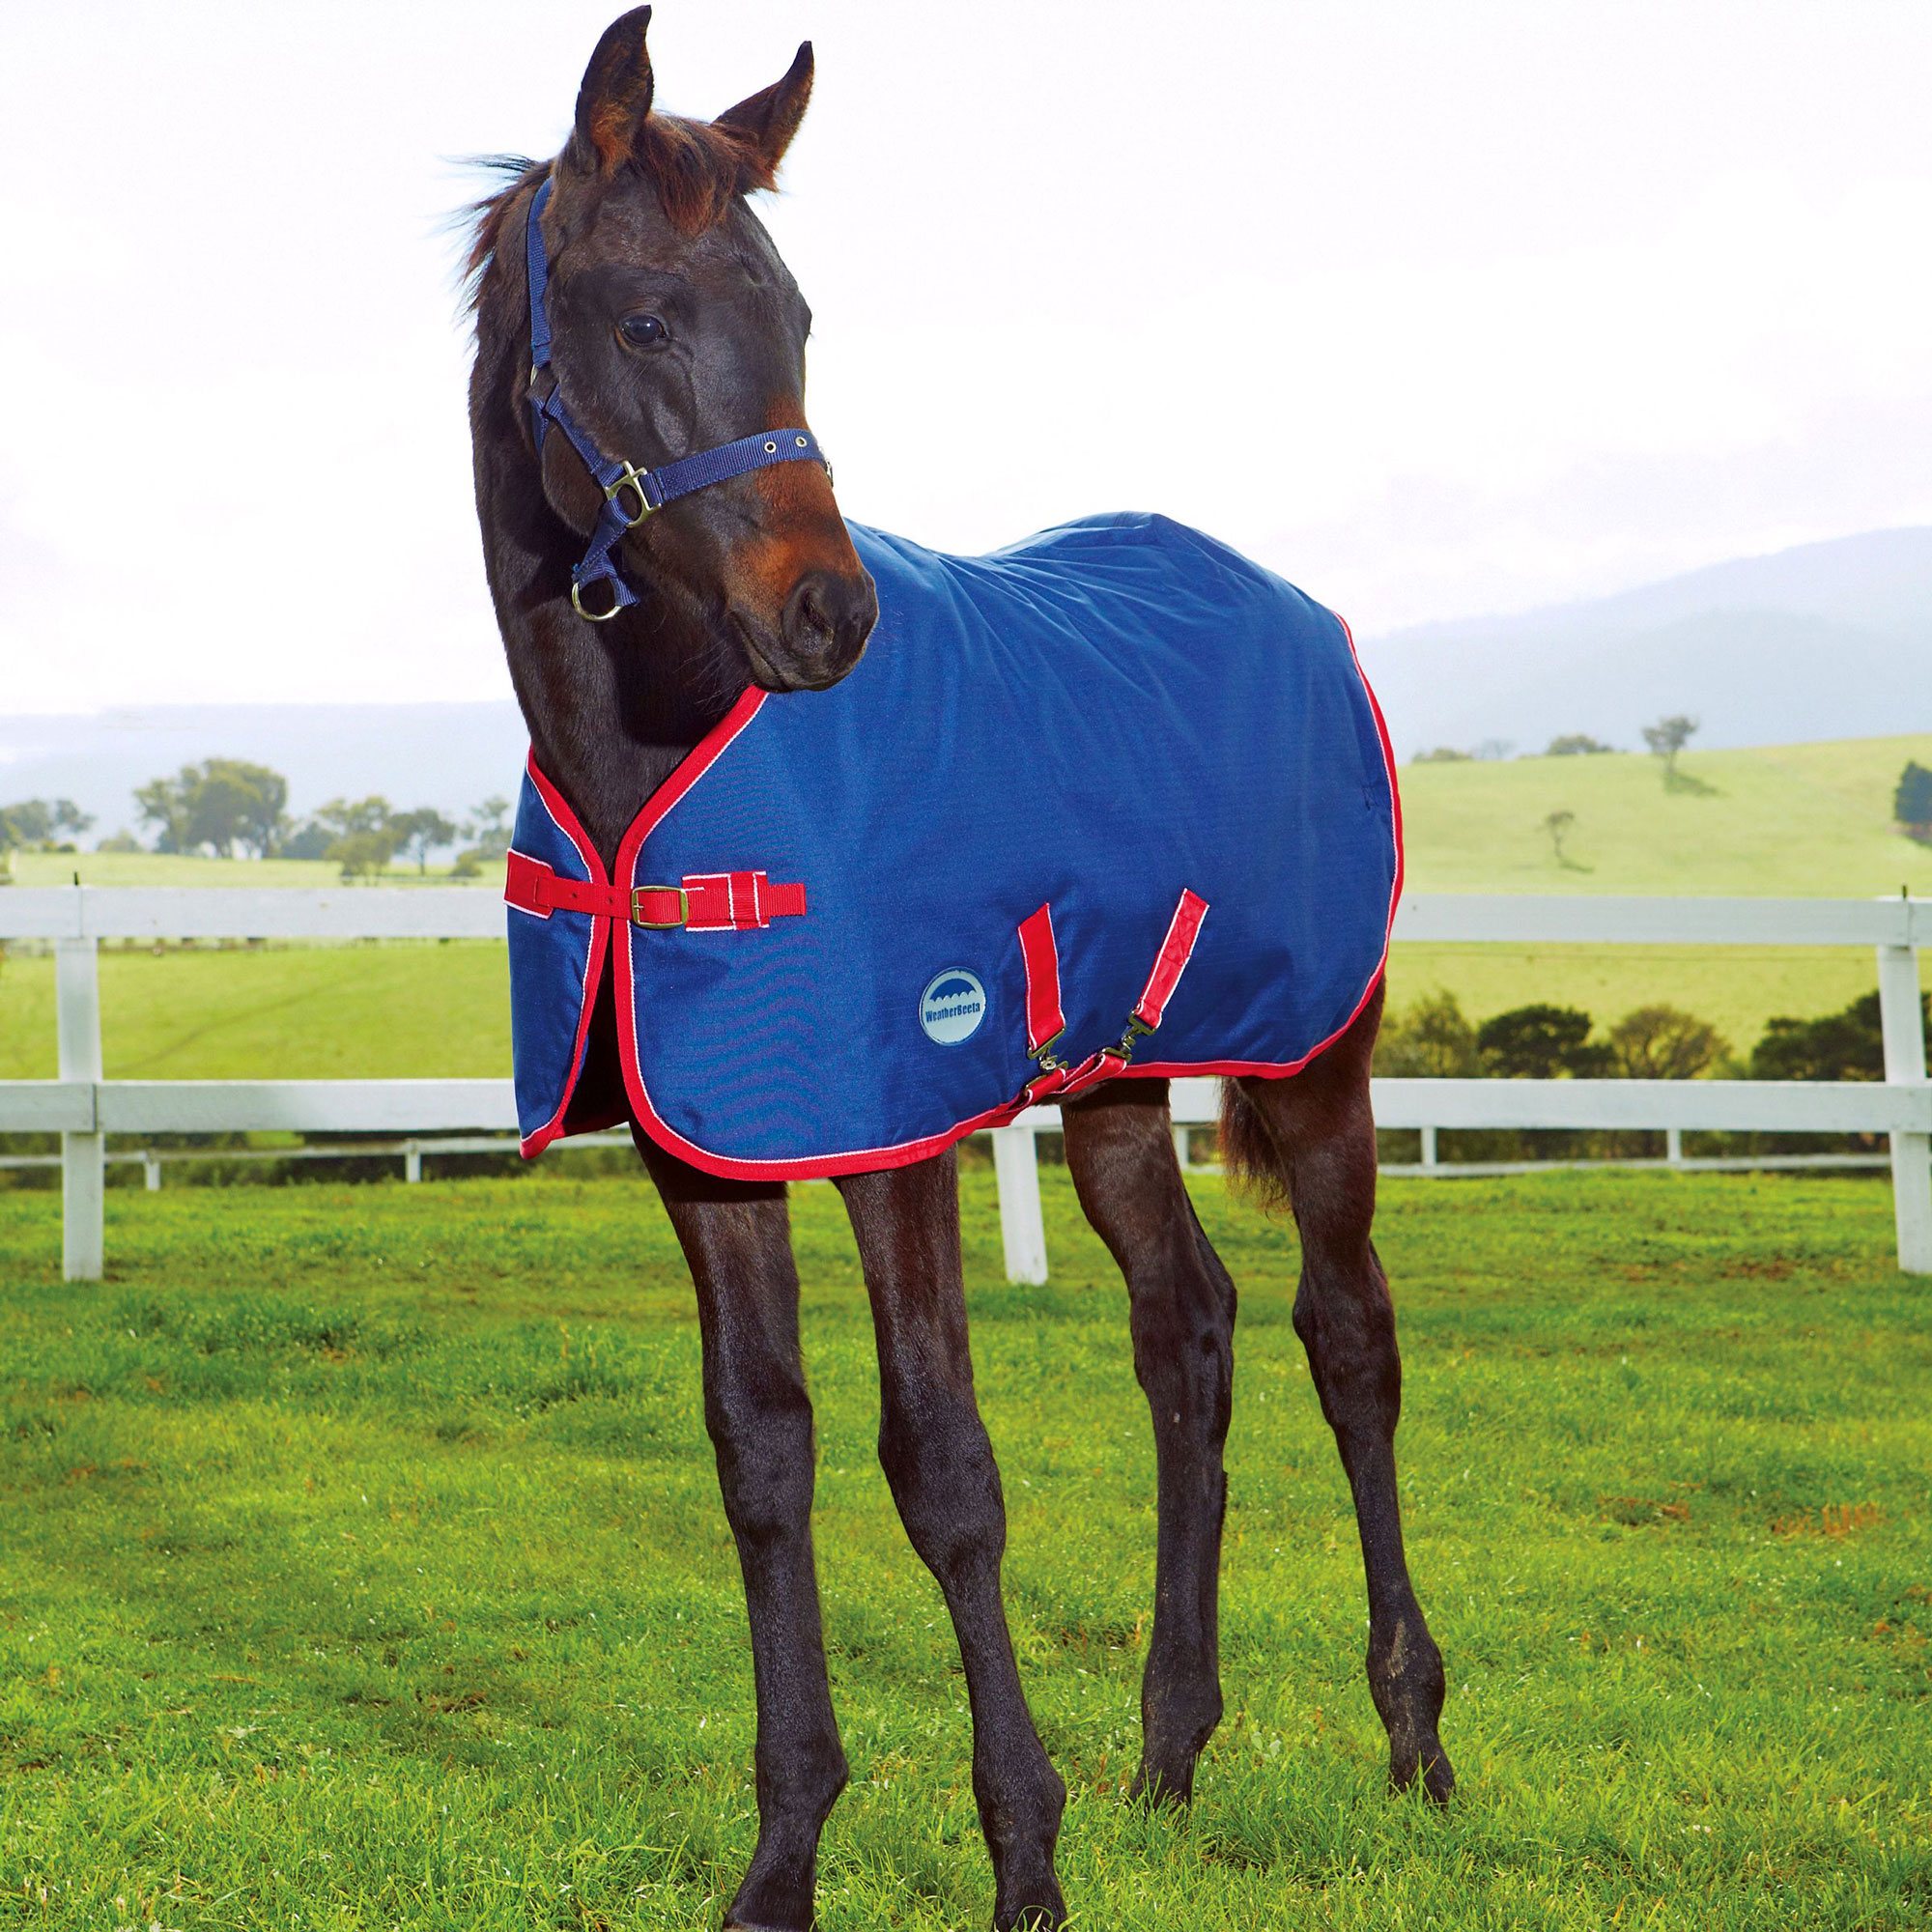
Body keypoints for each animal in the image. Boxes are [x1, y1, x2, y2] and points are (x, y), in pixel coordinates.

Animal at [463, 11, 1451, 1927]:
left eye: (800, 314)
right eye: (646, 321)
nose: (828, 616)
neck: (660, 765)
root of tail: (1300, 609)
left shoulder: (895, 1136)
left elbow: (943, 1468)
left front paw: (1024, 1859)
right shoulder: (711, 1153)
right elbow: (763, 1456)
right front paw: (783, 1861)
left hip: (1318, 1060)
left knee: (1347, 1337)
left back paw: (1416, 1741)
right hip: (1121, 1083)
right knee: (1187, 1331)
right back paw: (1170, 1751)